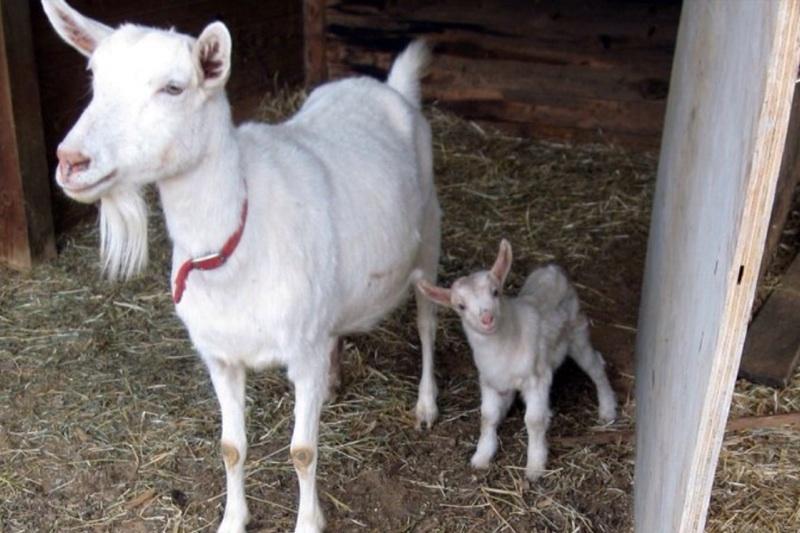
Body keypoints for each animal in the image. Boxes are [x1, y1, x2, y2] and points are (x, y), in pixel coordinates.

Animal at [41, 1, 441, 531]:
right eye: (94, 76)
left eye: (174, 87)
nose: (71, 160)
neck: (237, 245)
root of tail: (388, 87)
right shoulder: (220, 355)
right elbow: (231, 447)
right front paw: (232, 519)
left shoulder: (302, 352)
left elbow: (302, 452)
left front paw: (308, 522)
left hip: (429, 240)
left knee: (427, 323)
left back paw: (426, 404)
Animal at [417, 240, 616, 480]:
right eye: (460, 306)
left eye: (495, 292)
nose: (487, 318)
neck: (503, 345)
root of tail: (551, 270)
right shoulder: (489, 381)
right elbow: (487, 416)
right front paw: (481, 456)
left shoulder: (537, 378)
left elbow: (534, 420)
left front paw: (535, 466)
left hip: (577, 332)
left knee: (595, 366)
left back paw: (607, 408)